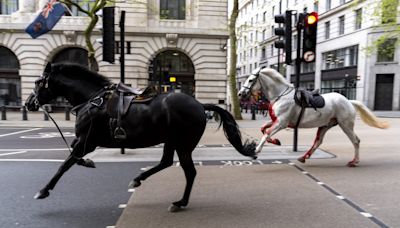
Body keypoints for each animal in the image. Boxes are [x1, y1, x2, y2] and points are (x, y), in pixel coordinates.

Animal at [25, 62, 256, 212]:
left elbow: (65, 164)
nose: (28, 104)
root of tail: (200, 104)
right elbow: (72, 158)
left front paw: (43, 190)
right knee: (166, 162)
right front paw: (88, 163)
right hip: (171, 141)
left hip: (183, 144)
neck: (92, 100)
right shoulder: (83, 141)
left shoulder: (87, 141)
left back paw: (180, 202)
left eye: (37, 82)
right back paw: (140, 180)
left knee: (189, 172)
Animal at [239, 67, 390, 167]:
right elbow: (263, 129)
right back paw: (303, 157)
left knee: (356, 141)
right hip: (325, 125)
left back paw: (354, 161)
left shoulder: (282, 122)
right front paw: (275, 141)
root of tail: (348, 101)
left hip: (345, 125)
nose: (240, 94)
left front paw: (256, 150)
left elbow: (266, 133)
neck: (281, 95)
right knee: (318, 142)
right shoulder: (276, 121)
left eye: (251, 80)